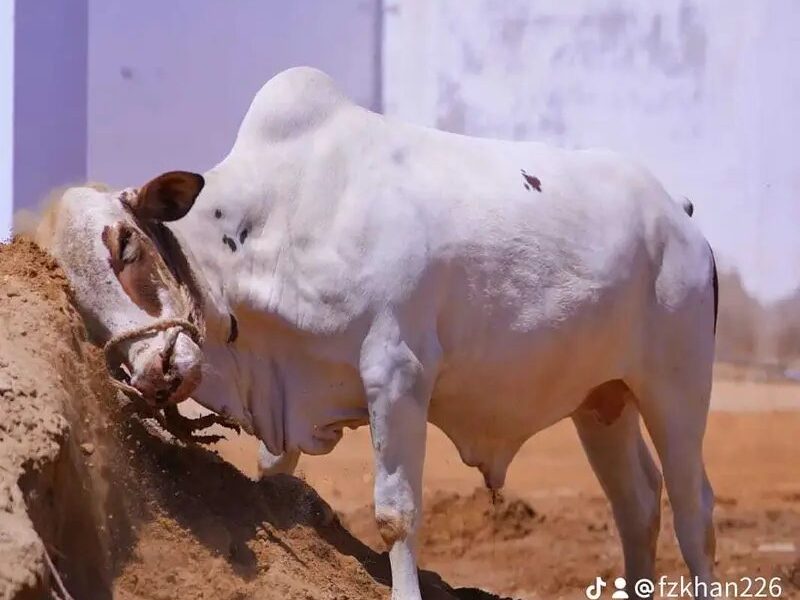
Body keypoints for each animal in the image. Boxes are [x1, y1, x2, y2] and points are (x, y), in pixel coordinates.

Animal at [36, 67, 718, 600]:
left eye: (126, 245)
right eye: (76, 302)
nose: (156, 371)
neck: (276, 222)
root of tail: (678, 214)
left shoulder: (397, 375)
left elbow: (396, 515)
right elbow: (274, 477)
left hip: (676, 389)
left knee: (694, 512)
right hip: (602, 401)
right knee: (637, 505)